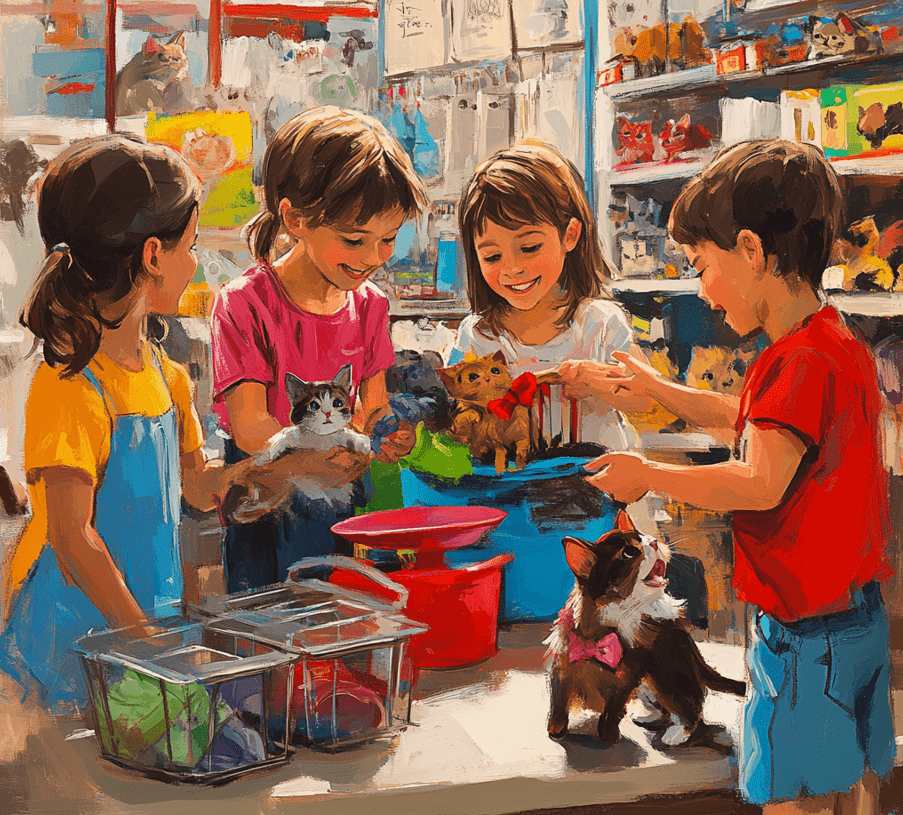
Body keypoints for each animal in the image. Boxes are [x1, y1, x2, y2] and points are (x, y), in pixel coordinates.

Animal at [222, 364, 370, 524]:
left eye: (337, 403)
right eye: (313, 405)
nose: (327, 412)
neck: (321, 437)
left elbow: (345, 434)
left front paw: (362, 441)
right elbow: (284, 434)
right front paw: (269, 453)